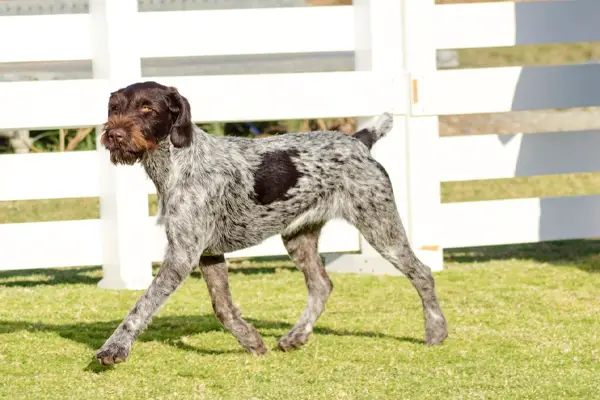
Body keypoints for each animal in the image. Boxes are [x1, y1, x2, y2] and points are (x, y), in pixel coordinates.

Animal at [96, 80, 448, 366]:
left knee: (422, 273)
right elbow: (223, 308)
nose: (113, 134)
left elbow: (142, 305)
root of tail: (358, 140)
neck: (178, 162)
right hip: (298, 237)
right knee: (322, 285)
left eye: (147, 108)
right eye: (115, 108)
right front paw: (251, 341)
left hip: (381, 227)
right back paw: (296, 336)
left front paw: (115, 348)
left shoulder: (183, 256)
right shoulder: (207, 253)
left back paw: (436, 330)